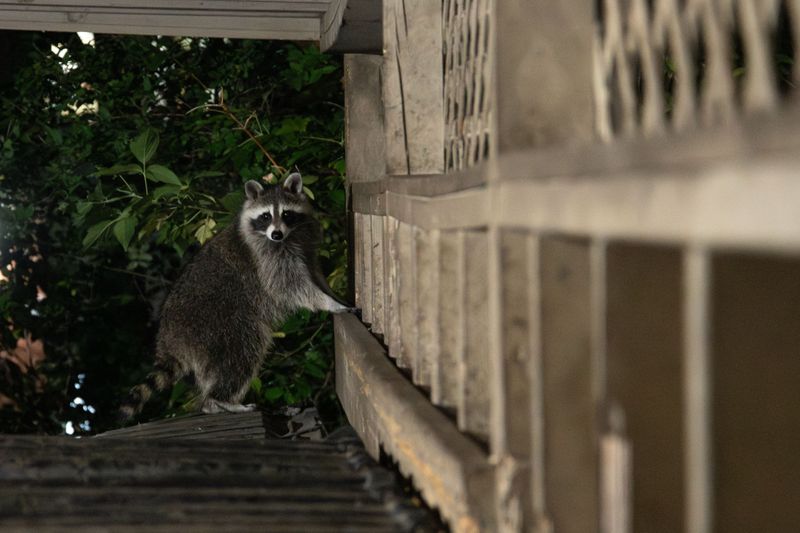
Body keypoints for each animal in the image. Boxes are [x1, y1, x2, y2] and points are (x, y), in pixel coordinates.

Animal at [119, 173, 352, 420]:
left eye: (287, 214)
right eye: (266, 216)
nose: (276, 234)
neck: (288, 237)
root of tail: (168, 340)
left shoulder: (305, 243)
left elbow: (314, 273)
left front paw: (331, 294)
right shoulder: (265, 259)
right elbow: (289, 285)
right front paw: (328, 302)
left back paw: (214, 403)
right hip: (218, 327)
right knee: (241, 354)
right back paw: (220, 400)